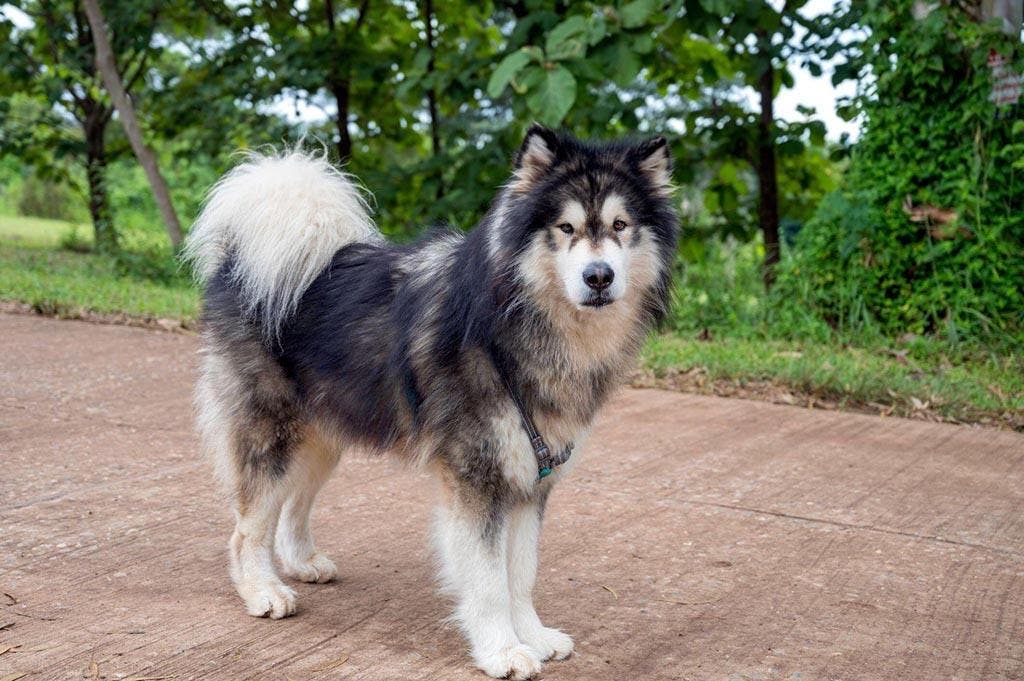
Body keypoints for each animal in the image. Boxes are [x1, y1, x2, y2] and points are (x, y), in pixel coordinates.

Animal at [184, 124, 679, 675]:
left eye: (620, 225)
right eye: (566, 228)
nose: (599, 277)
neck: (513, 319)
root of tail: (238, 263)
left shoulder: (530, 480)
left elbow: (521, 574)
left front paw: (533, 635)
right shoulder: (478, 478)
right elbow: (489, 581)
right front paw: (502, 650)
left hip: (323, 436)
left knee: (292, 504)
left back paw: (301, 562)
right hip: (273, 433)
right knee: (247, 527)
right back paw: (263, 590)